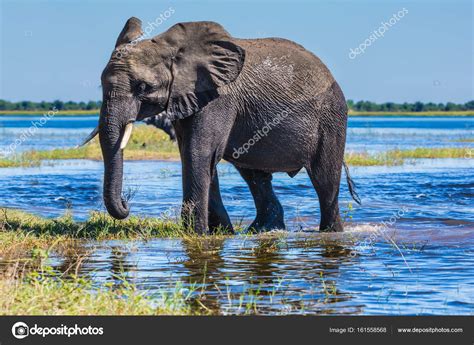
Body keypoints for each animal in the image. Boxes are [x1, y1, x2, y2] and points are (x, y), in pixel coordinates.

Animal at [83, 17, 362, 232]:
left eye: (143, 87)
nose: (126, 203)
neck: (171, 47)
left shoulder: (219, 97)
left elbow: (199, 153)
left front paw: (196, 233)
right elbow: (193, 155)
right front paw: (220, 233)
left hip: (332, 116)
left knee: (324, 180)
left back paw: (330, 232)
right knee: (255, 175)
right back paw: (261, 230)